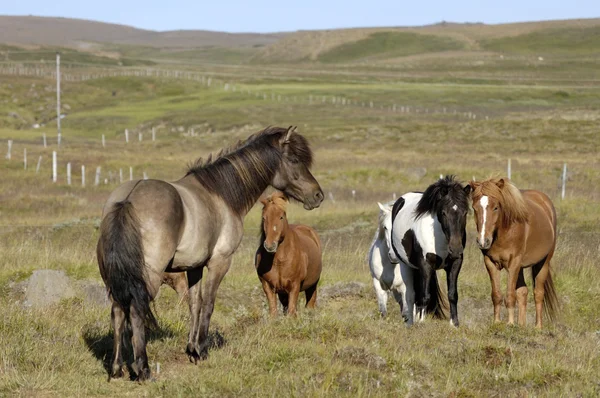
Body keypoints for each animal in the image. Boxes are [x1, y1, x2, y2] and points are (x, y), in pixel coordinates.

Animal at [97, 126, 324, 380]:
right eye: (294, 160)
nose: (318, 195)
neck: (221, 195)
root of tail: (127, 200)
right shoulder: (219, 262)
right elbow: (209, 304)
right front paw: (202, 350)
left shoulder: (194, 267)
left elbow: (194, 304)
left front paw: (191, 349)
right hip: (148, 277)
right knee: (136, 310)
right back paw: (143, 369)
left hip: (115, 278)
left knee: (117, 311)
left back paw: (116, 368)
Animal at [390, 176, 474, 326]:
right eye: (444, 213)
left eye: (465, 213)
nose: (455, 248)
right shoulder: (425, 265)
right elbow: (425, 296)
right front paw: (421, 322)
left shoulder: (455, 263)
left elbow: (452, 294)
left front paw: (454, 324)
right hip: (406, 265)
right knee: (411, 294)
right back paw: (410, 321)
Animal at [472, 178, 560, 330]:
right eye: (474, 208)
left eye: (496, 207)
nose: (483, 241)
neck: (504, 232)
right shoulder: (490, 263)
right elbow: (497, 294)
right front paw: (497, 322)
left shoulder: (513, 264)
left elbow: (510, 295)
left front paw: (510, 323)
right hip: (520, 267)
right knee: (523, 292)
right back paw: (522, 325)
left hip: (542, 263)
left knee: (538, 293)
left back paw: (538, 327)